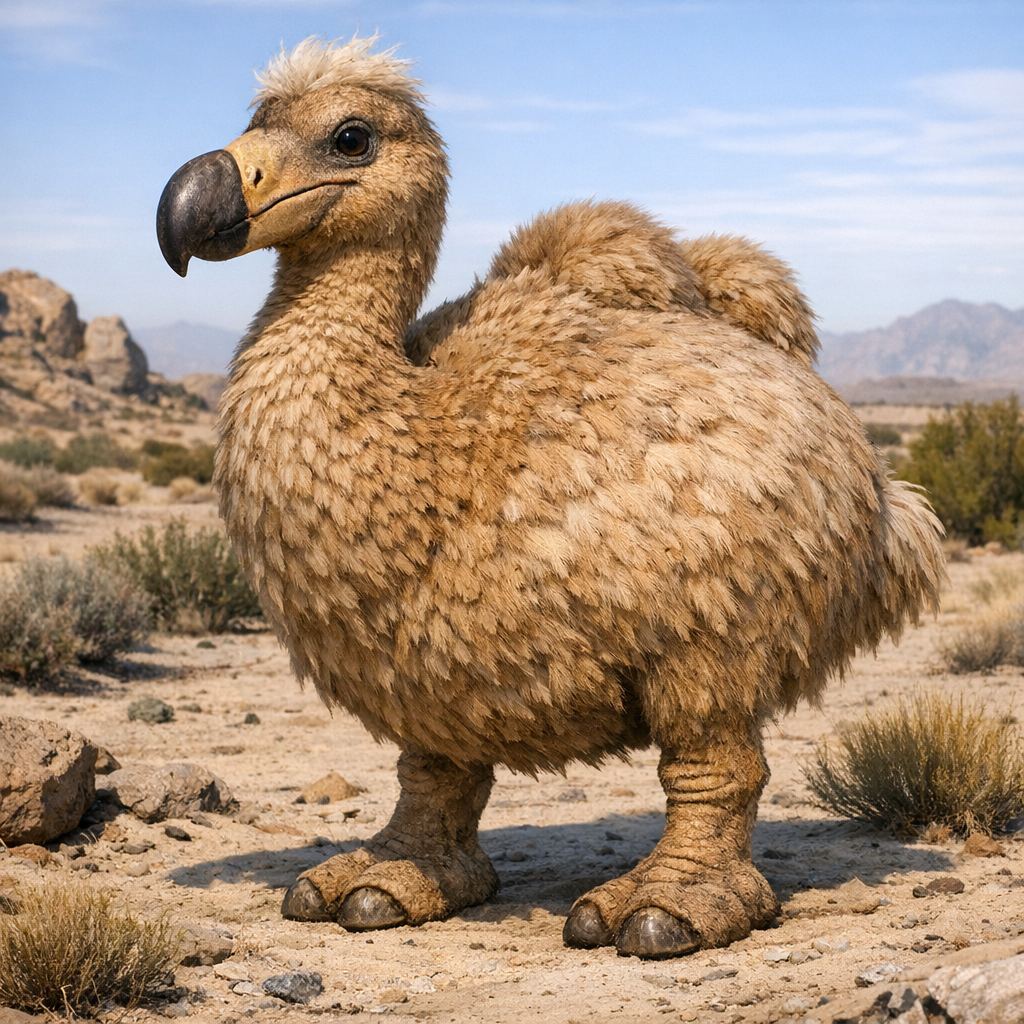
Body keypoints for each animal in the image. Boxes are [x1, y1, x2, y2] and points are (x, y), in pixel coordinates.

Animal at [156, 36, 945, 960]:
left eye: (349, 138)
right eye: (255, 122)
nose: (187, 207)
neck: (426, 434)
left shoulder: (698, 630)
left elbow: (710, 774)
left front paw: (672, 901)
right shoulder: (427, 673)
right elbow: (432, 772)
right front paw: (392, 874)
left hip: (731, 628)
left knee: (716, 766)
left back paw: (672, 895)